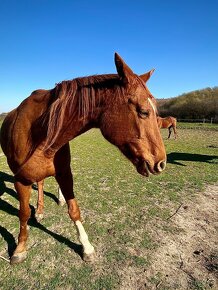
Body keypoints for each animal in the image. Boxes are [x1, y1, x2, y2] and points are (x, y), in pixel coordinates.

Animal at [0, 52, 166, 266]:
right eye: (143, 111)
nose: (161, 163)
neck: (40, 133)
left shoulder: (65, 173)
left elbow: (74, 210)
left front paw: (86, 247)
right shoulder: (20, 180)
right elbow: (23, 214)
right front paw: (20, 249)